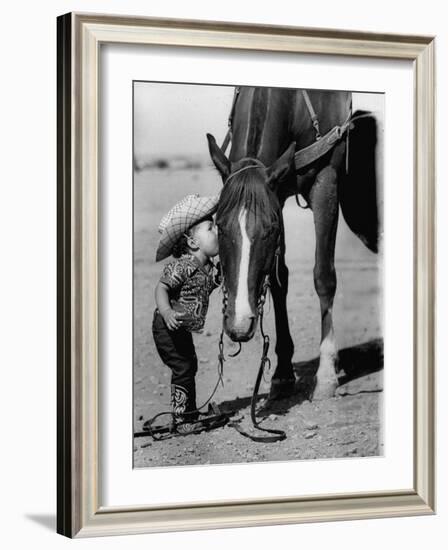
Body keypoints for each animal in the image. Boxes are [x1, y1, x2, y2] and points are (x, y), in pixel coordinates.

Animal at [206, 86, 378, 402]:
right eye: (219, 225)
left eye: (270, 229)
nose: (239, 324)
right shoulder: (278, 192)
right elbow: (278, 279)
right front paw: (283, 373)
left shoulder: (326, 181)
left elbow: (324, 277)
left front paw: (326, 375)